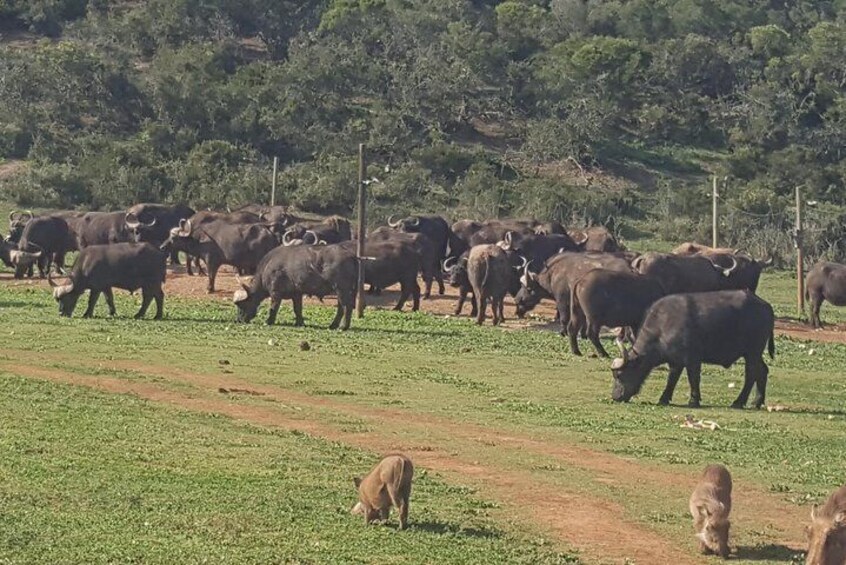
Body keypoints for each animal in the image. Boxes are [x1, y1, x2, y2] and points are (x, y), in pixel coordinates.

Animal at [608, 290, 776, 406]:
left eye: (619, 375)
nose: (615, 397)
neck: (663, 327)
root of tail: (766, 306)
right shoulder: (675, 362)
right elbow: (672, 379)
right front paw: (664, 398)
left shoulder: (692, 359)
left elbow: (693, 378)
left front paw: (694, 400)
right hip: (755, 353)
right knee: (763, 370)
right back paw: (757, 401)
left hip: (752, 352)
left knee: (751, 374)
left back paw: (739, 402)